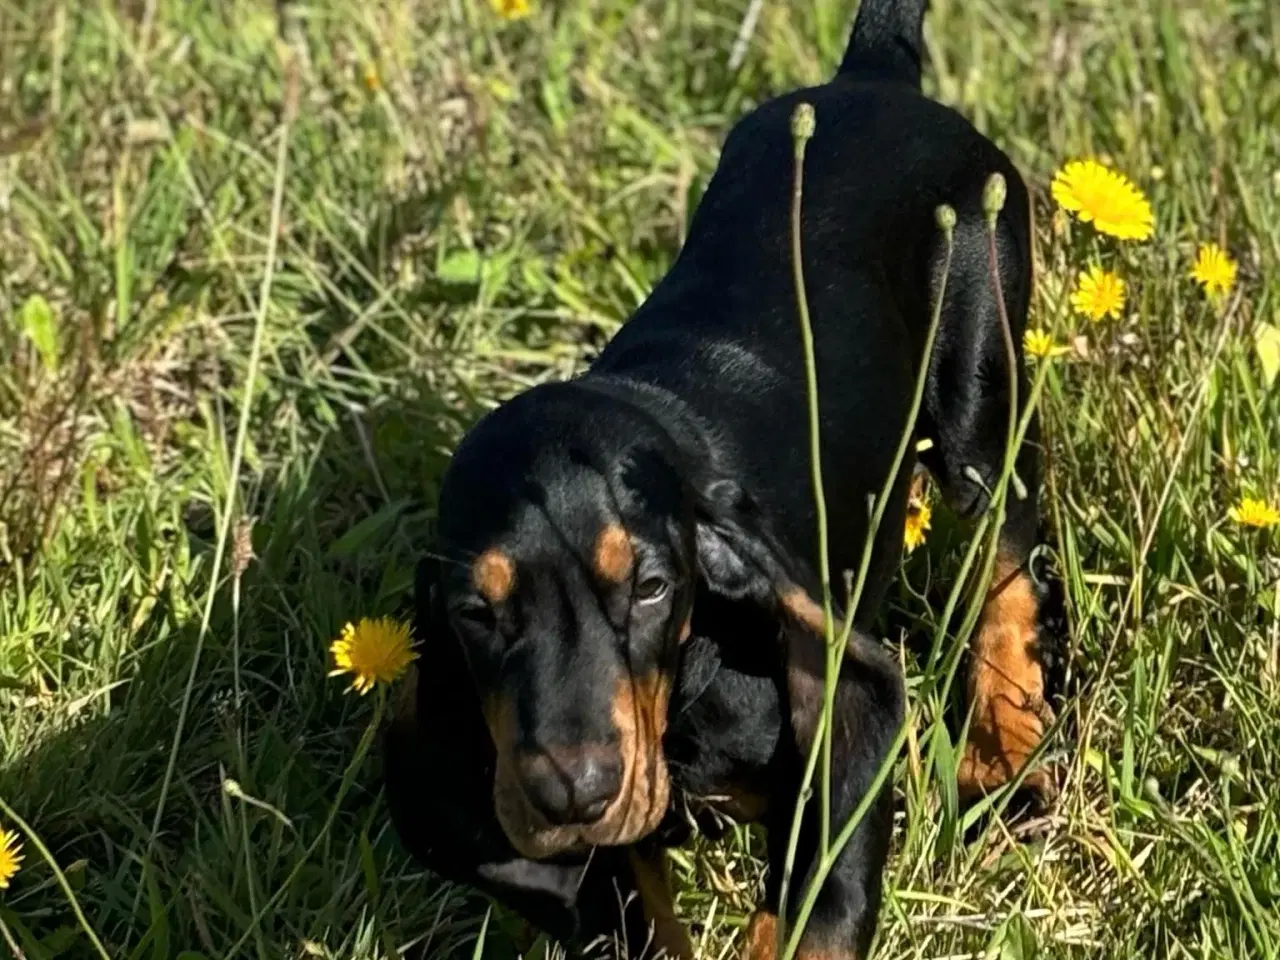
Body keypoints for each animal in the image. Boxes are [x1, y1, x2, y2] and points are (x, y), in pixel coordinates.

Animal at [384, 1, 1054, 957]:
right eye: (474, 613)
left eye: (654, 586)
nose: (574, 793)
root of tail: (871, 76)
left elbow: (813, 902)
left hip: (977, 392)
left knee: (1010, 543)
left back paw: (1005, 750)